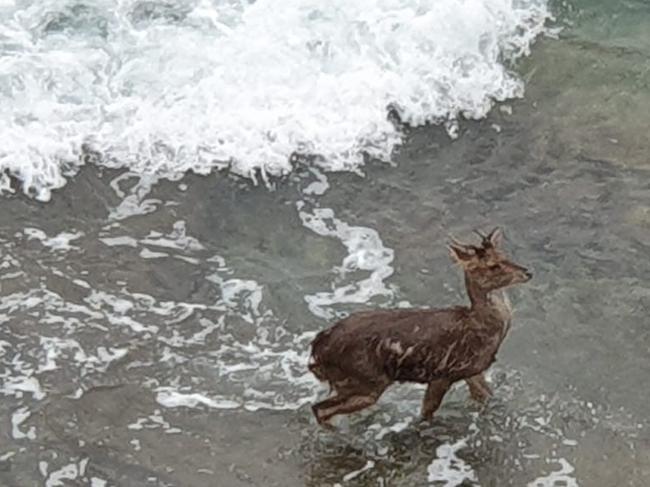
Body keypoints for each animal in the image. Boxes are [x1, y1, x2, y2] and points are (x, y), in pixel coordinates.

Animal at [306, 228, 528, 428]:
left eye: (504, 256)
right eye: (493, 266)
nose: (527, 272)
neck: (483, 329)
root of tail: (317, 351)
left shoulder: (472, 371)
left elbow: (486, 396)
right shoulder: (443, 374)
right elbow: (426, 412)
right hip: (364, 379)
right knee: (320, 409)